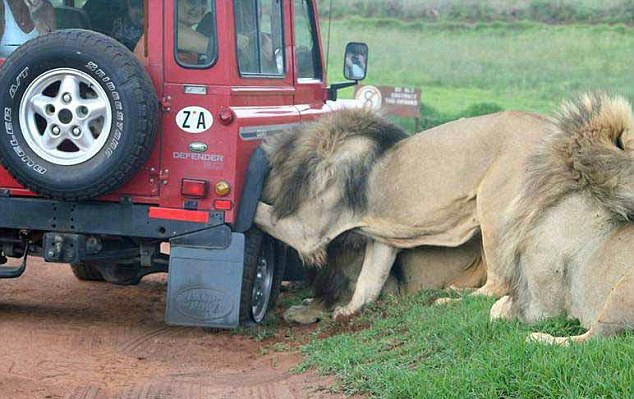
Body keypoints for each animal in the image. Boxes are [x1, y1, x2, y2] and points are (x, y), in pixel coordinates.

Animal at [254, 108, 544, 320]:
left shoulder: (309, 231)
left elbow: (261, 212)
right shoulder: (382, 239)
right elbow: (369, 279)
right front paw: (348, 310)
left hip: (492, 208)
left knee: (499, 285)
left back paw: (447, 299)